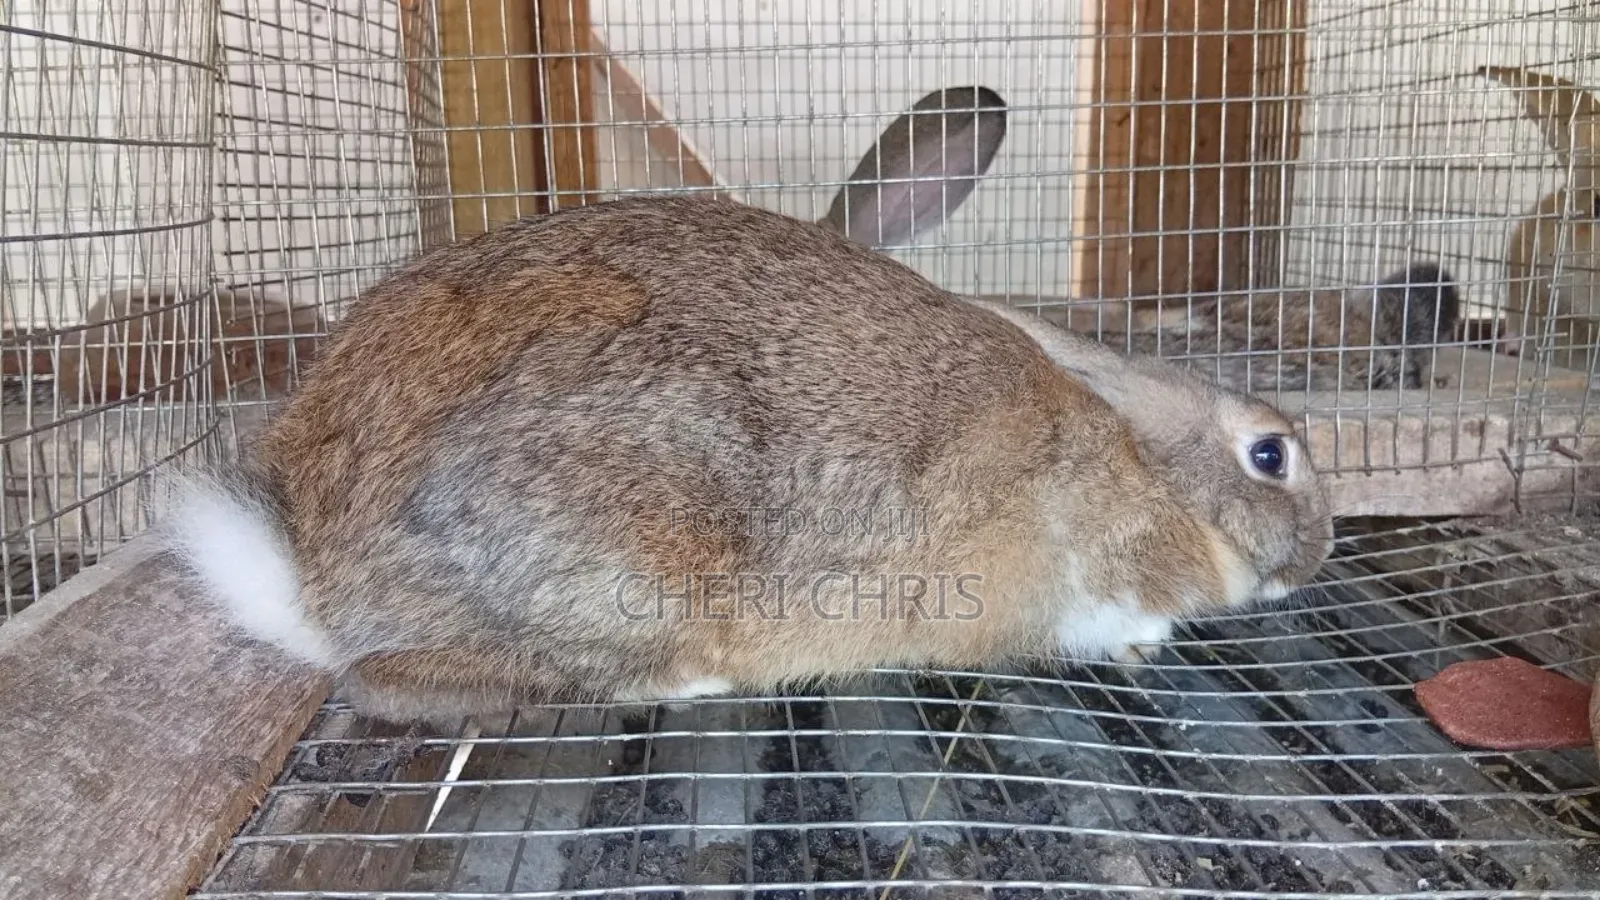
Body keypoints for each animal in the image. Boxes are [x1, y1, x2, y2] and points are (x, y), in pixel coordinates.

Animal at [162, 196, 1334, 732]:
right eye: (1270, 454)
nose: (1319, 556)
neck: (1147, 467)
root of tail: (315, 583)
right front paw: (1148, 641)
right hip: (618, 566)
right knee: (401, 680)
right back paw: (703, 678)